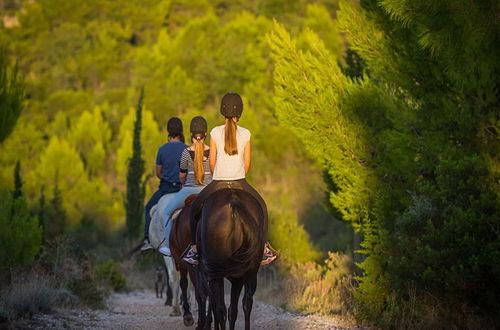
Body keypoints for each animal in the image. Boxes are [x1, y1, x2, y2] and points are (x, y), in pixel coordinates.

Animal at [196, 188, 268, 330]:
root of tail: (234, 204)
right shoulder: (237, 279)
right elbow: (233, 310)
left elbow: (216, 304)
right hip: (250, 272)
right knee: (246, 302)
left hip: (216, 274)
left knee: (220, 307)